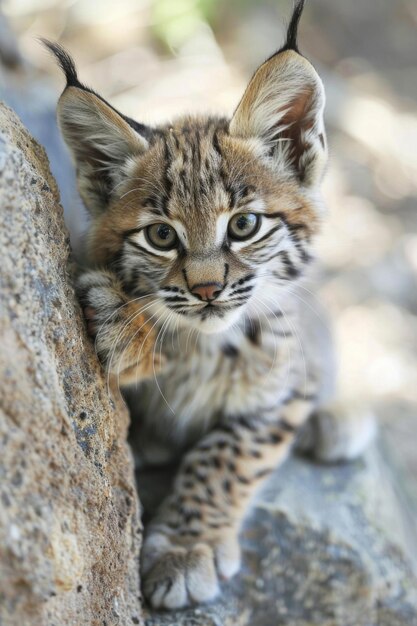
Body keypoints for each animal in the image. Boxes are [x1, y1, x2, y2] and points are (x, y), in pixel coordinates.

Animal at [44, 0, 374, 604]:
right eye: (161, 236)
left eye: (243, 226)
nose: (205, 290)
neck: (211, 343)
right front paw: (123, 323)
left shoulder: (279, 389)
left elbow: (228, 457)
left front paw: (185, 549)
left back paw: (338, 417)